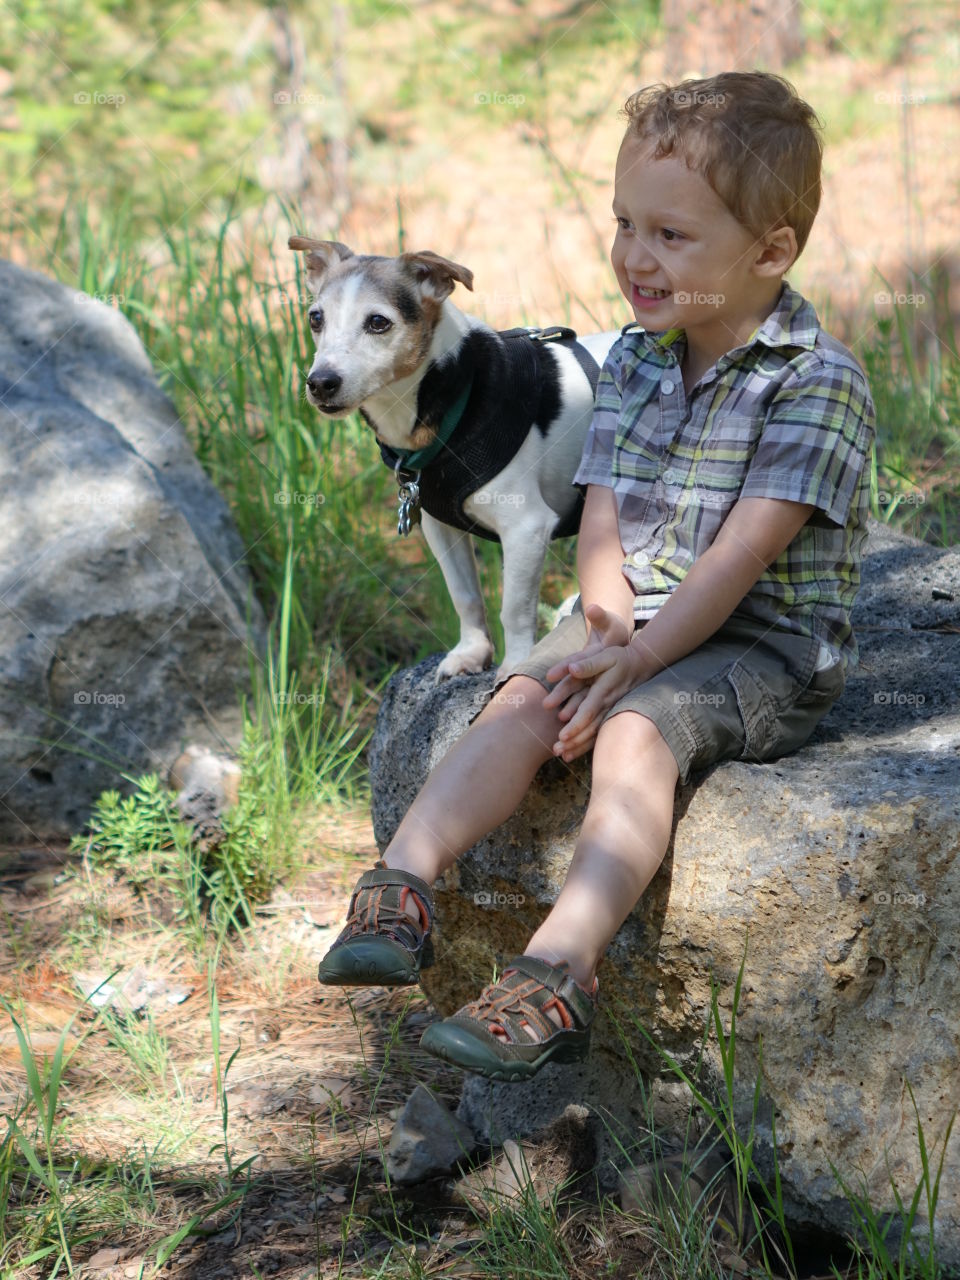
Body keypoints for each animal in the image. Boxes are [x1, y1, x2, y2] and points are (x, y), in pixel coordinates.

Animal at [289, 236, 619, 686]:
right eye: (315, 319)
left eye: (378, 323)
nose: (320, 383)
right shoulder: (440, 527)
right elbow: (465, 596)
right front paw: (472, 653)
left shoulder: (526, 529)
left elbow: (513, 609)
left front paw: (516, 665)